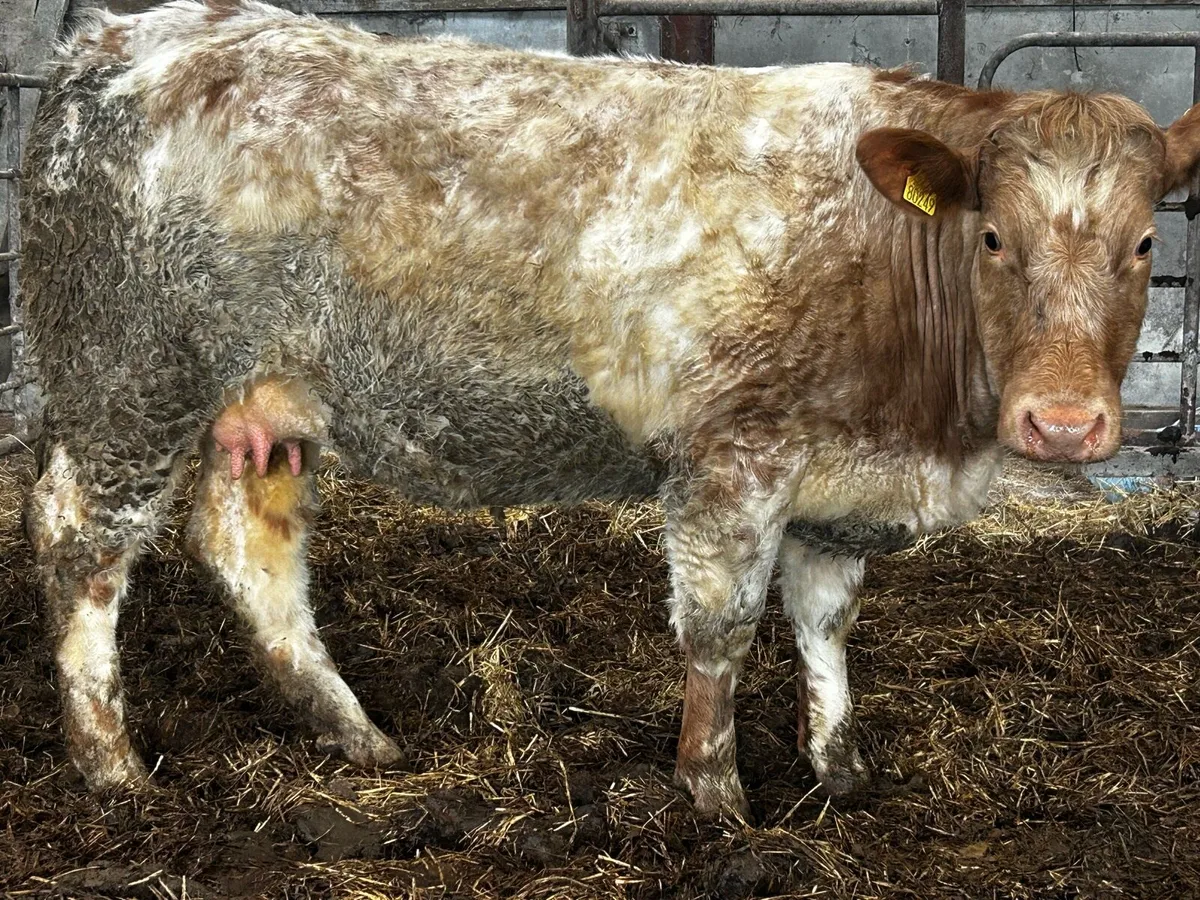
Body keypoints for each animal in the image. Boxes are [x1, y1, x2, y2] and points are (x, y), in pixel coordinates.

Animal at [19, 0, 1200, 819]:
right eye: (994, 237)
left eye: (1147, 243)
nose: (1064, 424)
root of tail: (121, 39)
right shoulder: (734, 458)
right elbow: (723, 630)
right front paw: (716, 796)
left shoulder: (843, 474)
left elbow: (824, 623)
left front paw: (840, 772)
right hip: (128, 380)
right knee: (79, 540)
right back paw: (112, 766)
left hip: (264, 410)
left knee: (247, 548)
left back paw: (357, 737)